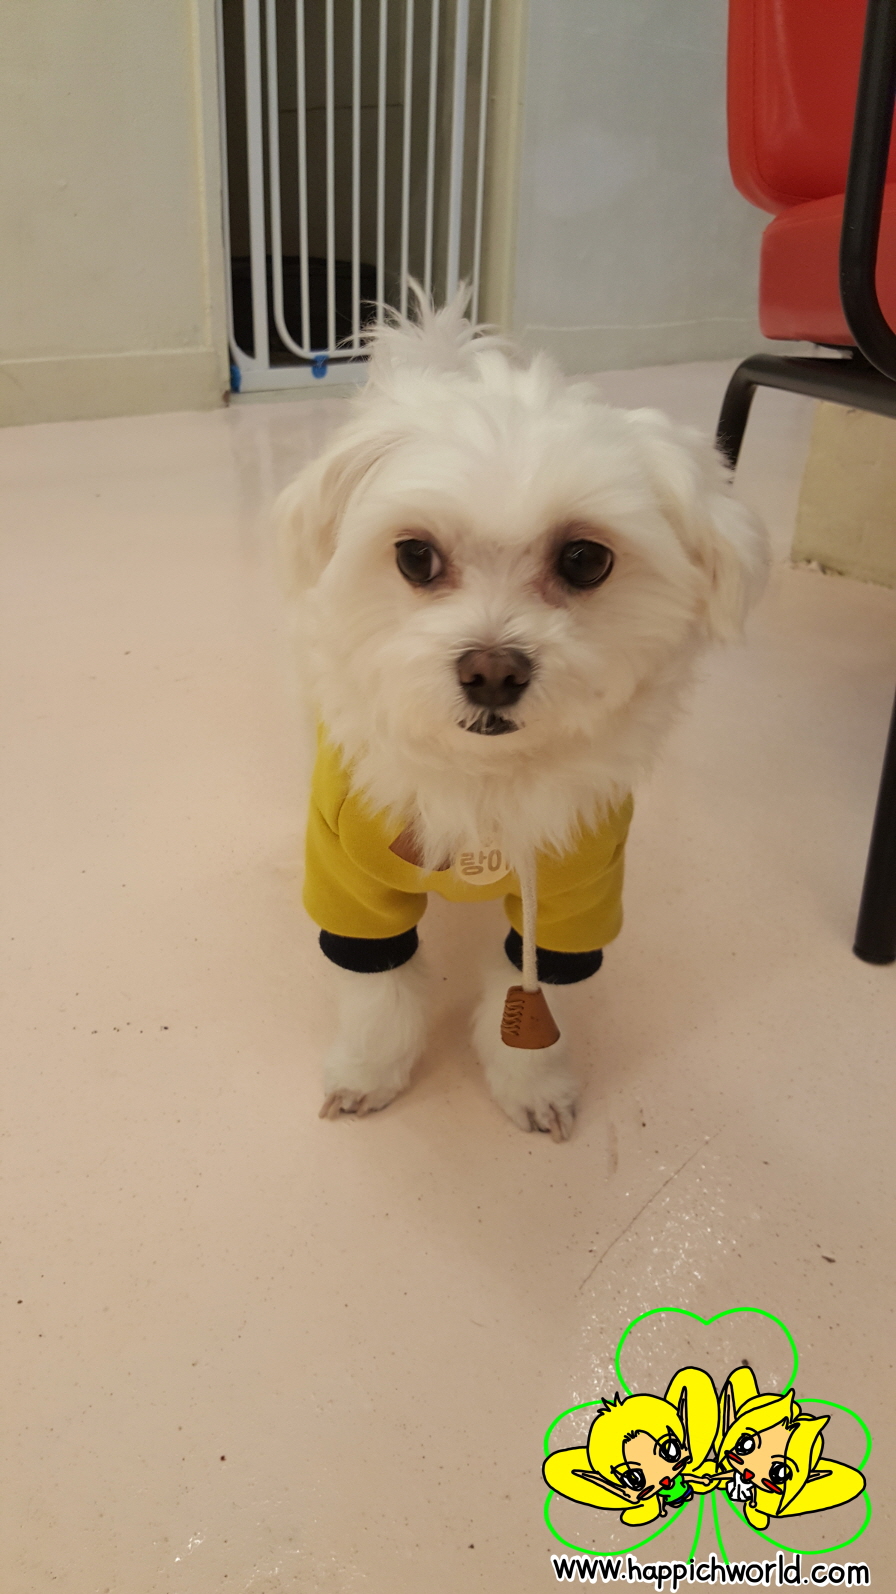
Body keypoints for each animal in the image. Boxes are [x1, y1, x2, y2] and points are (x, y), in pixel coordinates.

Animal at [276, 291, 768, 1140]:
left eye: (586, 560)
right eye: (414, 557)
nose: (492, 673)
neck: (486, 783)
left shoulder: (578, 884)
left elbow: (533, 996)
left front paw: (531, 1084)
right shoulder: (350, 870)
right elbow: (379, 993)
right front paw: (369, 1072)